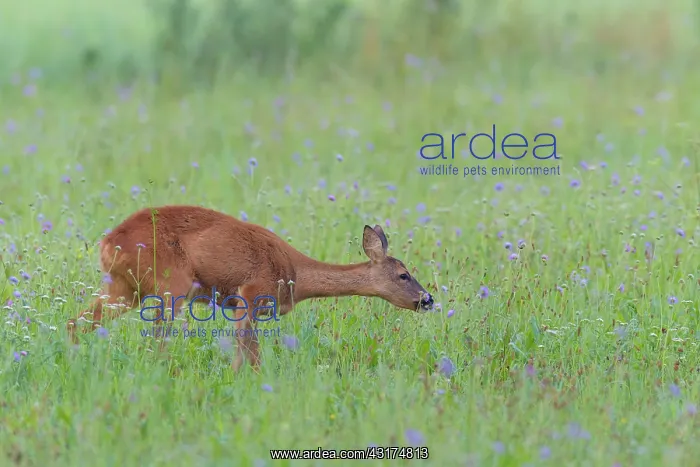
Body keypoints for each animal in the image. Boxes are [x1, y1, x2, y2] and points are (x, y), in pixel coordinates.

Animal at [67, 205, 435, 371]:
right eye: (403, 274)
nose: (428, 299)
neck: (296, 274)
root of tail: (108, 243)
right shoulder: (251, 293)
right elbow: (250, 352)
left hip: (125, 288)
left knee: (77, 321)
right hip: (171, 285)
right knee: (158, 339)